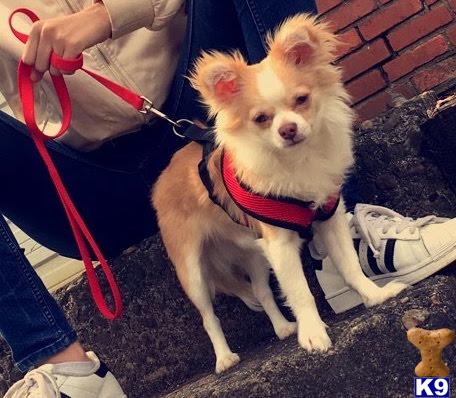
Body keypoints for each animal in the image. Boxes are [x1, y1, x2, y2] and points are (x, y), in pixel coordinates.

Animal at [152, 13, 406, 374]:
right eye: (261, 118)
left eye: (301, 100)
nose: (288, 129)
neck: (298, 159)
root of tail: (166, 173)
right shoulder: (280, 245)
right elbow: (300, 292)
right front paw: (313, 334)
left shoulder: (328, 221)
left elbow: (349, 267)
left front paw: (374, 296)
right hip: (192, 269)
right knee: (209, 317)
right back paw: (224, 357)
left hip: (255, 253)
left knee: (262, 291)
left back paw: (284, 327)